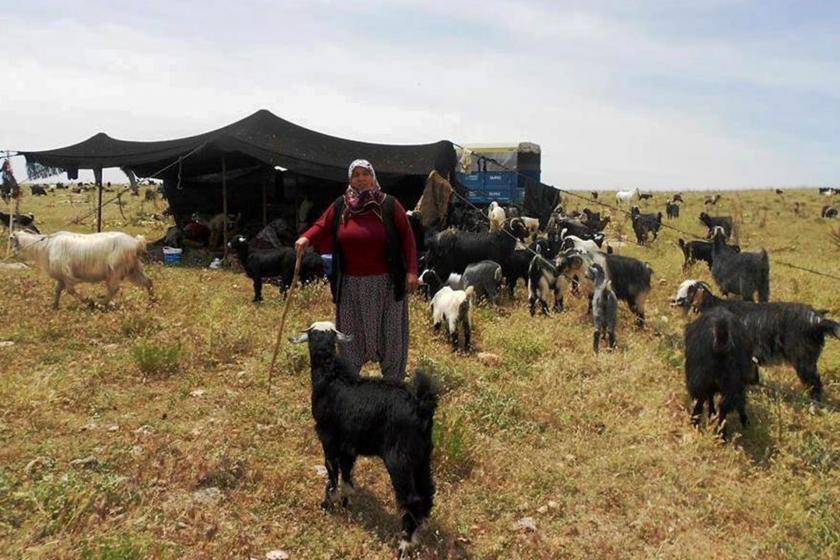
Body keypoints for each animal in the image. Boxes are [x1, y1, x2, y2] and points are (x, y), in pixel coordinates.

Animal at [12, 232, 154, 310]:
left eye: (13, 242)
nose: (13, 253)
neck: (45, 246)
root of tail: (137, 242)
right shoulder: (62, 277)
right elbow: (57, 290)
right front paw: (55, 306)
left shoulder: (67, 275)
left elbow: (71, 291)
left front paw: (88, 301)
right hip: (133, 269)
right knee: (148, 281)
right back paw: (152, 301)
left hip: (116, 269)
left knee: (113, 289)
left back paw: (100, 303)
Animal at [290, 322, 440, 556]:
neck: (331, 376)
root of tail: (421, 405)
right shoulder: (348, 445)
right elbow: (347, 473)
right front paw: (346, 501)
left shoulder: (328, 438)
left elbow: (332, 472)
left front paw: (328, 504)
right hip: (422, 456)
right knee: (427, 492)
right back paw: (418, 529)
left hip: (400, 459)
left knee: (411, 499)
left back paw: (404, 544)